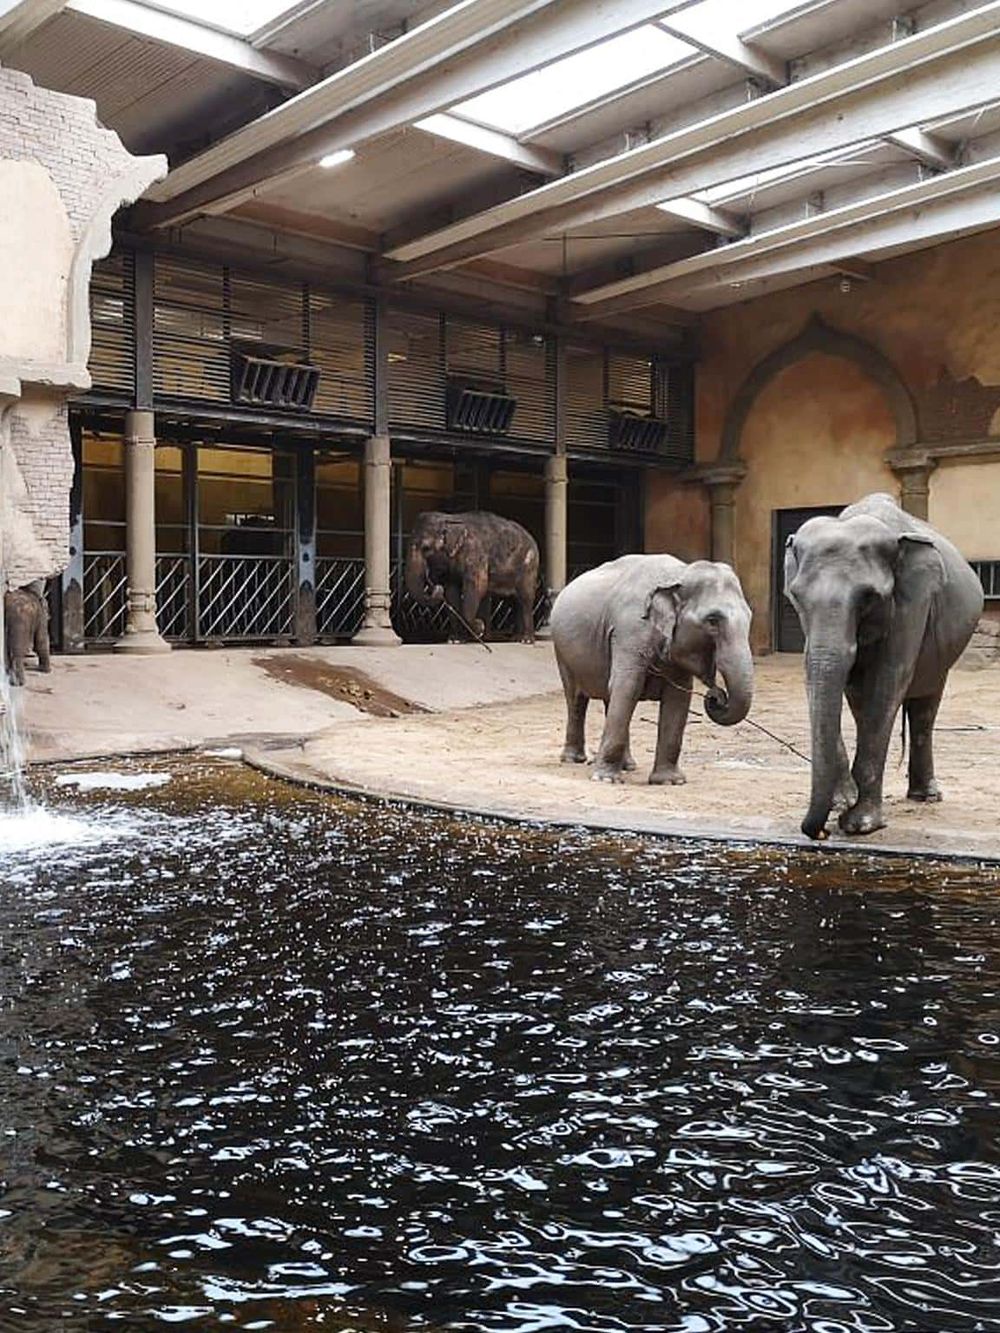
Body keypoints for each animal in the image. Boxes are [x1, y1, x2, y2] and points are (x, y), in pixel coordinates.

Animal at [405, 510, 540, 642]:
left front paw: (479, 628)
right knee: (516, 601)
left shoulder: (476, 555)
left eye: (426, 548)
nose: (436, 587)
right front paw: (455, 640)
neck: (449, 519)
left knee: (525, 598)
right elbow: (451, 593)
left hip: (529, 564)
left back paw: (526, 640)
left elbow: (477, 587)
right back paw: (515, 638)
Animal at [550, 554, 754, 784]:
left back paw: (628, 765)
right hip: (561, 651)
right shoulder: (630, 631)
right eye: (712, 620)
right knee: (576, 698)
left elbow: (678, 698)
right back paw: (573, 759)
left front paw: (670, 781)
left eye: (749, 617)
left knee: (609, 698)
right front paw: (606, 780)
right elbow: (628, 686)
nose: (716, 695)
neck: (679, 574)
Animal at [783, 492, 983, 840]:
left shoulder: (913, 599)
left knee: (925, 706)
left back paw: (926, 797)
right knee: (863, 702)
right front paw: (843, 800)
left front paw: (860, 824)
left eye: (868, 597)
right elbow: (825, 676)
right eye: (797, 596)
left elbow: (890, 678)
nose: (818, 832)